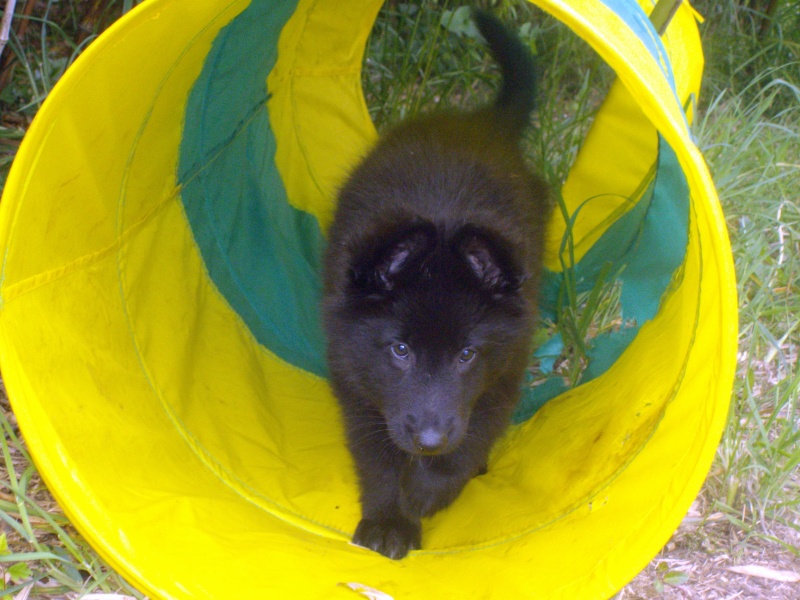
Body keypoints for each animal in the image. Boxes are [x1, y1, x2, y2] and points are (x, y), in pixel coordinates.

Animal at [322, 9, 552, 560]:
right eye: (400, 350)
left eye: (466, 354)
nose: (428, 439)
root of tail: (480, 122)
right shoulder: (356, 376)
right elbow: (377, 454)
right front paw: (389, 520)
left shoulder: (504, 368)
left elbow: (468, 441)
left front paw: (425, 492)